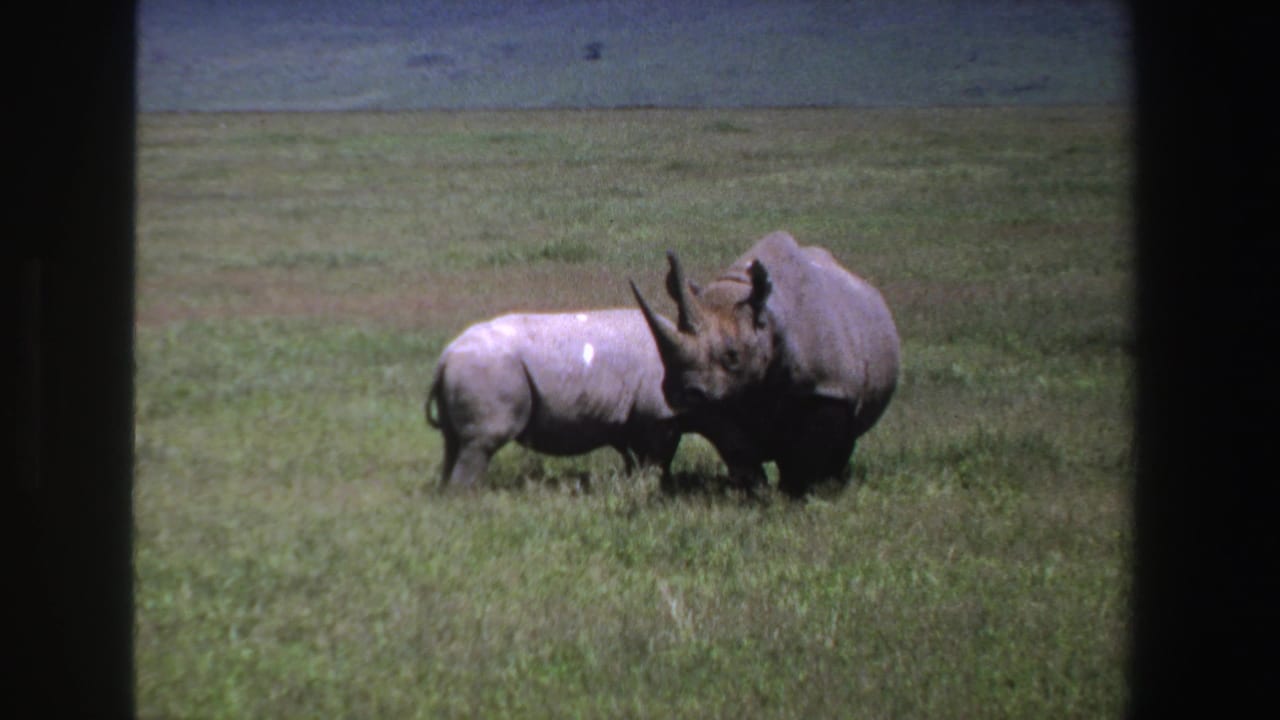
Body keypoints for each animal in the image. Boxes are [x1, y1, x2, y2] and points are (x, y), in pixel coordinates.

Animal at [425, 309, 682, 488]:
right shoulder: (657, 415)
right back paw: (469, 499)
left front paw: (643, 485)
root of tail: (446, 356)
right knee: (481, 443)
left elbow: (643, 459)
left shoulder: (636, 420)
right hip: (487, 368)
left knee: (453, 442)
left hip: (472, 368)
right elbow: (657, 457)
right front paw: (654, 486)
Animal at [630, 231, 900, 497]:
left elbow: (811, 448)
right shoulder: (716, 396)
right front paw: (752, 491)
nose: (679, 394)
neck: (767, 322)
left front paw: (802, 492)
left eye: (733, 356)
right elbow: (736, 447)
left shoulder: (828, 385)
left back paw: (833, 482)